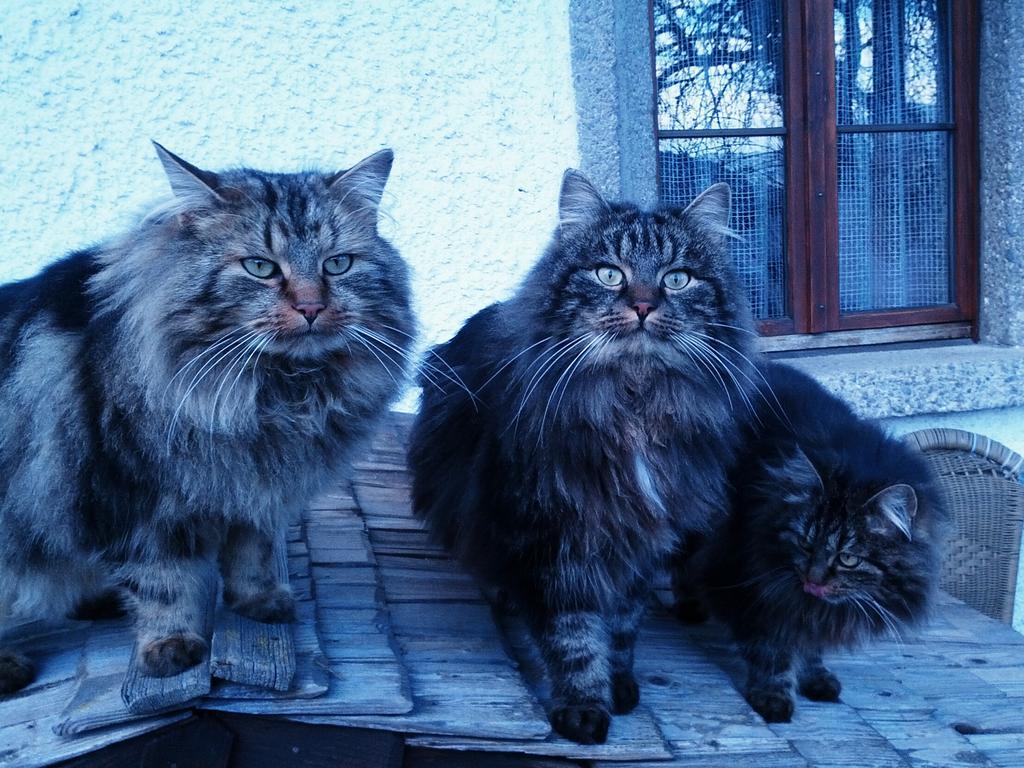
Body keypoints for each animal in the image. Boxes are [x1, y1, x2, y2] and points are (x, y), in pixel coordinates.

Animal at [1, 143, 415, 692]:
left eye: (338, 264)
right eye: (260, 267)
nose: (311, 307)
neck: (275, 396)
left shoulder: (258, 489)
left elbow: (253, 553)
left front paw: (259, 602)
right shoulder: (132, 498)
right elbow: (164, 586)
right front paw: (171, 647)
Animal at [407, 169, 761, 745]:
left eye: (677, 279)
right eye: (608, 274)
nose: (643, 305)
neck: (633, 406)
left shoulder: (641, 542)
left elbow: (620, 629)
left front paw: (619, 687)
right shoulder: (550, 541)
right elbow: (573, 637)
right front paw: (584, 710)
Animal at [675, 360, 946, 720]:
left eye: (848, 558)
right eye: (805, 542)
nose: (813, 579)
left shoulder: (804, 603)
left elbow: (811, 642)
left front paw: (815, 677)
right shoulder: (750, 581)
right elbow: (771, 650)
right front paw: (773, 695)